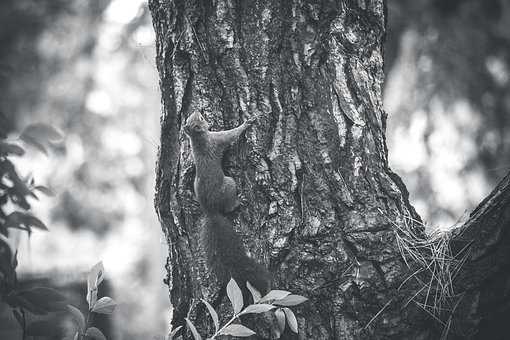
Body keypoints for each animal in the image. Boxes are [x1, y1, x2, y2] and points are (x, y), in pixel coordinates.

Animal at [183, 112, 270, 298]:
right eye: (201, 119)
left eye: (190, 119)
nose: (197, 110)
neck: (198, 139)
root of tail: (210, 211)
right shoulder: (218, 139)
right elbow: (232, 134)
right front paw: (247, 123)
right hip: (230, 183)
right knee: (229, 206)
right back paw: (238, 202)